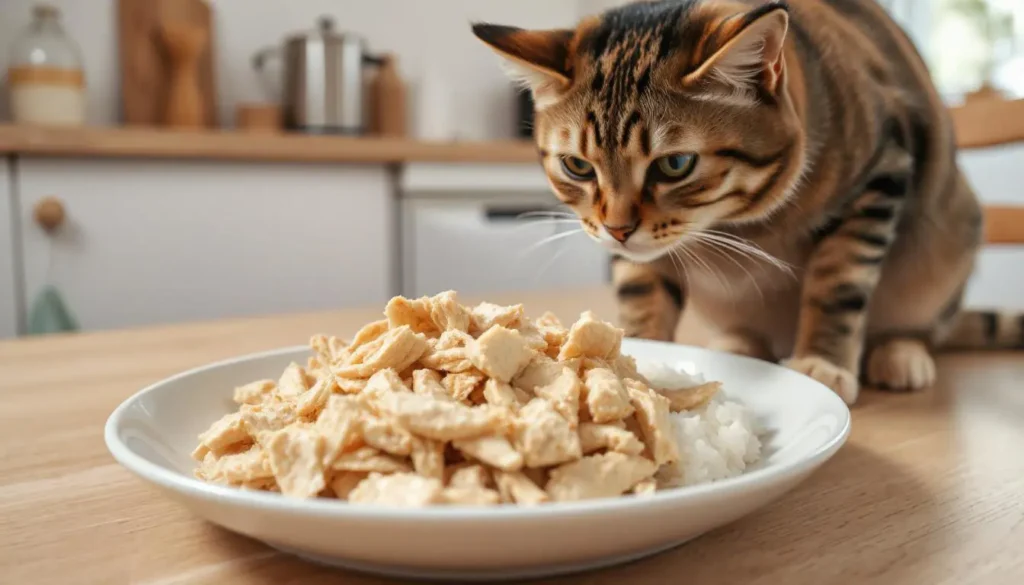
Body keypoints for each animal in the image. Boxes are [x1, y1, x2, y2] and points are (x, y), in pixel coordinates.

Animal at [473, 0, 1024, 407]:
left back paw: (901, 353)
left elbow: (839, 285)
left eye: (675, 165)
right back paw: (740, 343)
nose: (618, 229)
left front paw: (823, 361)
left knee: (923, 321)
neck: (737, 220)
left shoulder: (883, 167)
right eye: (578, 167)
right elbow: (643, 291)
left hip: (947, 248)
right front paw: (632, 350)